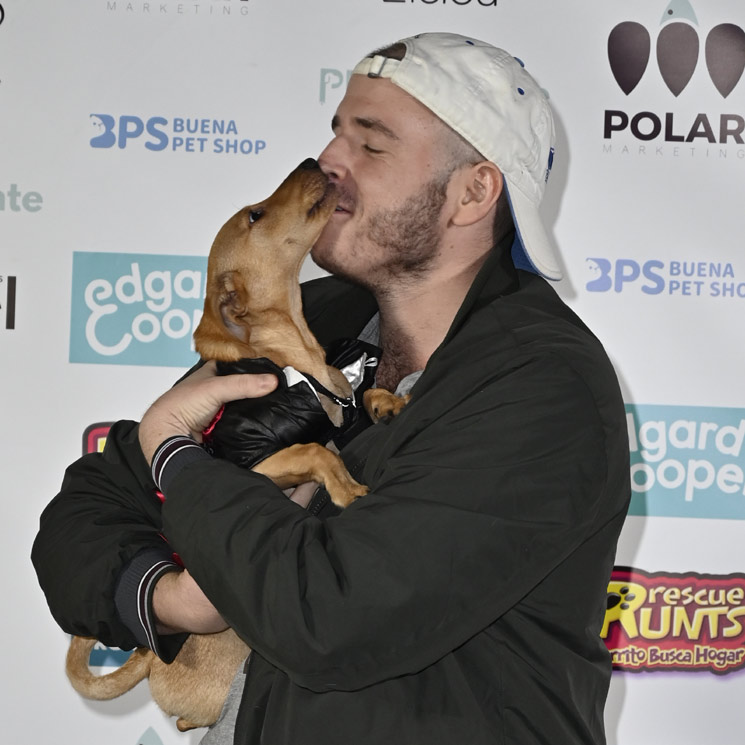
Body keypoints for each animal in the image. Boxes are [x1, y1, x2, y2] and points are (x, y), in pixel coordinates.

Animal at [66, 158, 406, 732]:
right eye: (255, 215)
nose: (314, 162)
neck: (301, 365)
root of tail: (150, 658)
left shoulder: (338, 399)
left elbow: (357, 398)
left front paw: (385, 400)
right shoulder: (253, 464)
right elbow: (317, 451)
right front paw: (346, 489)